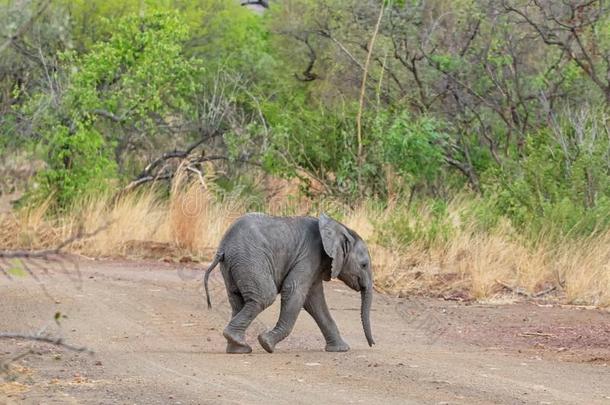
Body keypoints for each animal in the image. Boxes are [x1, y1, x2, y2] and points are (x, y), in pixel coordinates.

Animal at [204, 211, 372, 354]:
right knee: (265, 296)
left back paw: (239, 348)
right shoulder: (309, 255)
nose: (372, 344)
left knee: (237, 300)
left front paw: (341, 349)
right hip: (250, 259)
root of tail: (223, 247)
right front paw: (266, 344)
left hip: (234, 265)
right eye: (364, 265)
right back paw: (239, 342)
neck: (340, 228)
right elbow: (294, 291)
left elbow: (315, 301)